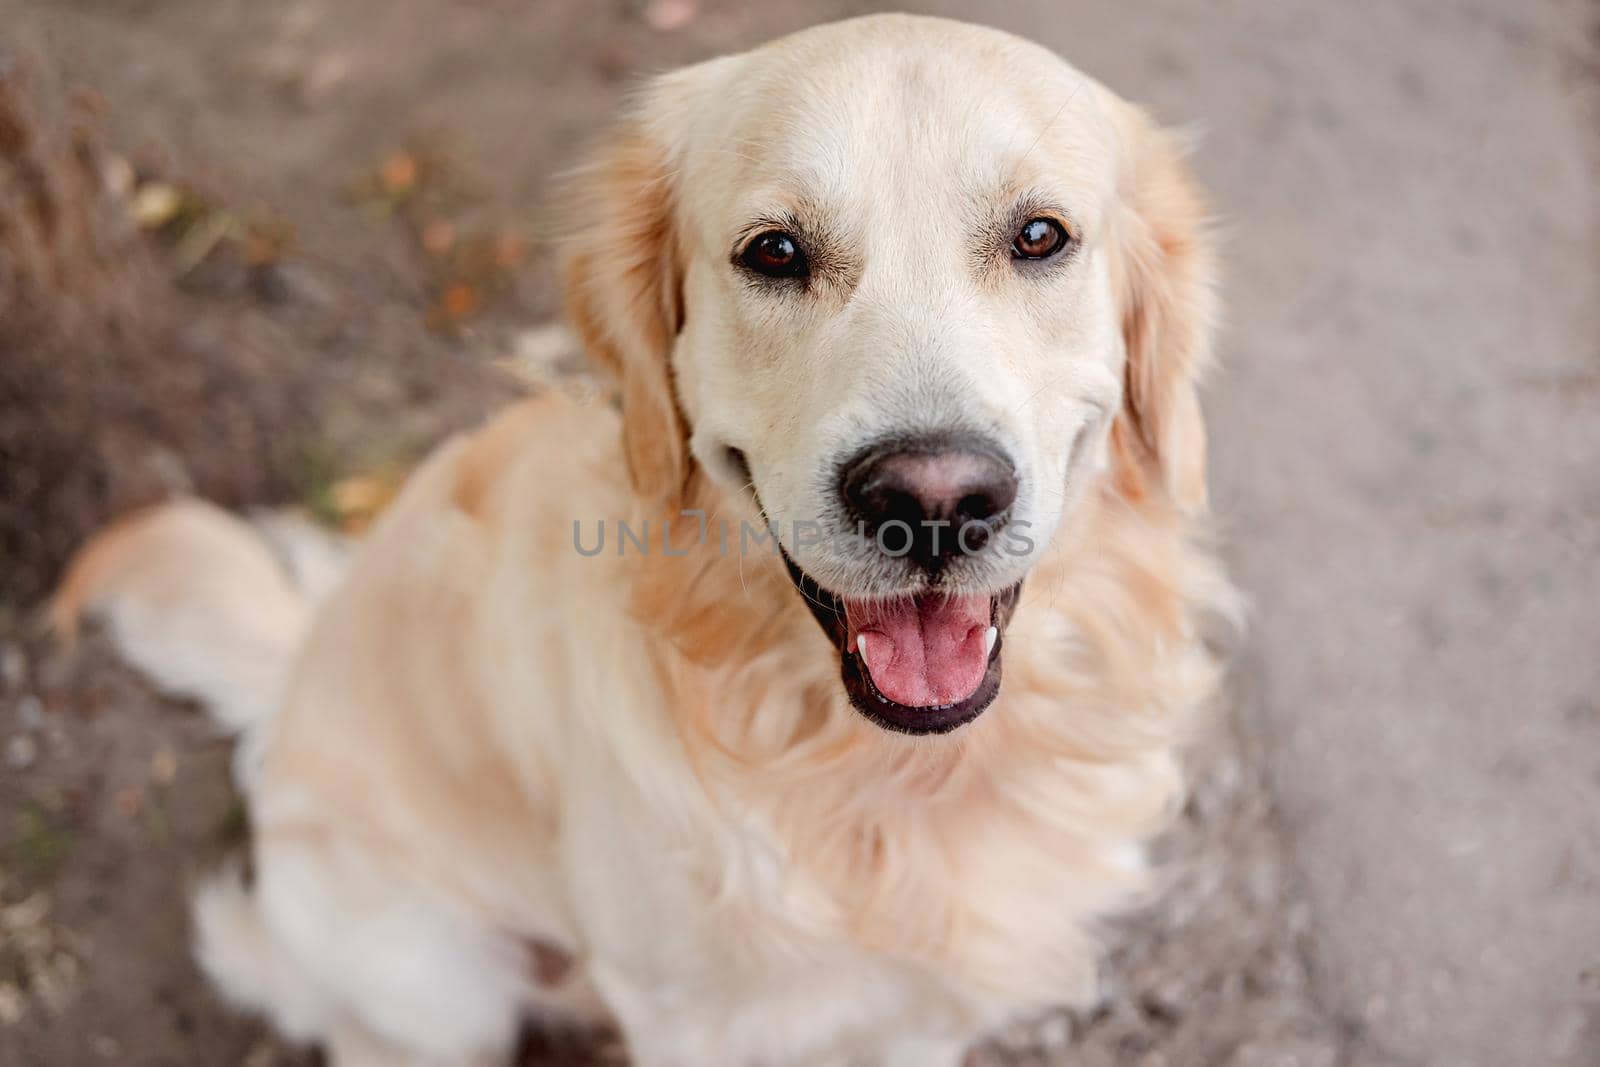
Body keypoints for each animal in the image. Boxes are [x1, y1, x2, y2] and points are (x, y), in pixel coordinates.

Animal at [50, 14, 1228, 1067]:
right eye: (775, 252)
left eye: (1039, 236)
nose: (933, 500)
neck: (882, 775)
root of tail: (295, 676)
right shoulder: (689, 1018)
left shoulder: (916, 1011)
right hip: (435, 988)